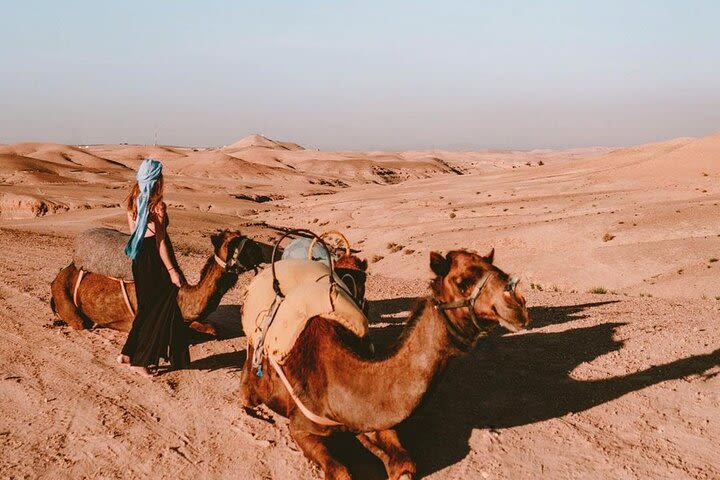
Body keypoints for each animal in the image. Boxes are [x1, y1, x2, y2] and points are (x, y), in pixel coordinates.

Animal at [50, 231, 264, 336]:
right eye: (234, 243)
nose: (259, 250)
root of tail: (60, 273)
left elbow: (214, 329)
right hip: (65, 297)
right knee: (79, 322)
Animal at [239, 248, 532, 480]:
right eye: (462, 282)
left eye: (500, 271)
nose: (518, 305)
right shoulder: (300, 428)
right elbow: (340, 471)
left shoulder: (370, 419)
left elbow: (404, 464)